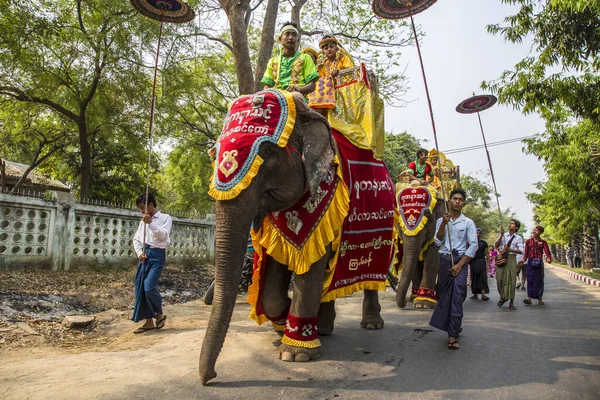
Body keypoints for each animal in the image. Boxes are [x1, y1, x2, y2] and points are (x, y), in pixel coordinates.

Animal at [199, 82, 396, 384]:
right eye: (215, 152)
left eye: (268, 153)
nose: (209, 377)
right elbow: (272, 283)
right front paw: (282, 327)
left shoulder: (324, 195)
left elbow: (311, 267)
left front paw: (295, 354)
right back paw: (323, 327)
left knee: (372, 273)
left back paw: (371, 324)